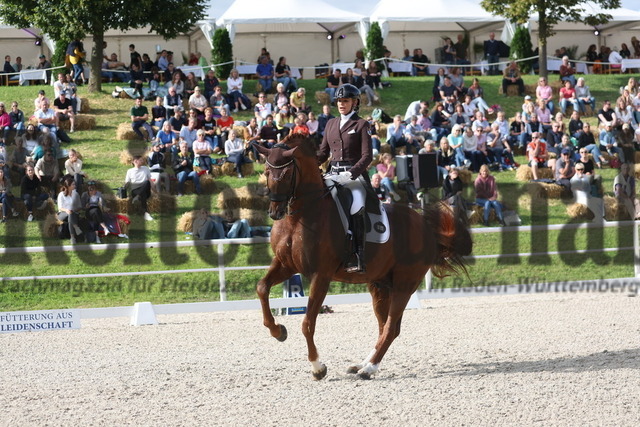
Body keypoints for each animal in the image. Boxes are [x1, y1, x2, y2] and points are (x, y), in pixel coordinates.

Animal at [254, 137, 470, 382]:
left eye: (287, 173)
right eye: (266, 171)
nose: (275, 212)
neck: (300, 217)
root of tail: (426, 228)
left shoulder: (321, 275)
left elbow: (308, 323)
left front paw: (317, 367)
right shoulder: (286, 265)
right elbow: (262, 287)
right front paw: (278, 330)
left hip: (404, 285)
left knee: (390, 328)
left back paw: (369, 369)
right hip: (379, 285)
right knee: (385, 326)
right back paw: (362, 364)